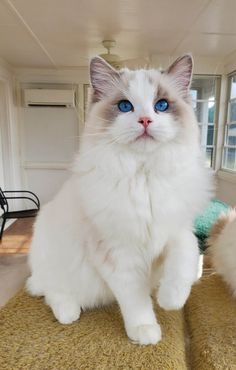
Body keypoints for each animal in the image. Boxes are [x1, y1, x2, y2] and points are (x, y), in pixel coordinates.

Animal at [26, 54, 213, 344]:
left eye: (161, 105)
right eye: (125, 106)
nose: (145, 120)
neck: (145, 177)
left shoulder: (177, 229)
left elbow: (185, 259)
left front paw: (170, 300)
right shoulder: (118, 253)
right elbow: (135, 300)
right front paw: (146, 331)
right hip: (56, 263)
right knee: (53, 293)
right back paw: (69, 313)